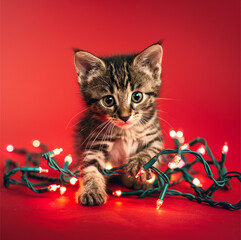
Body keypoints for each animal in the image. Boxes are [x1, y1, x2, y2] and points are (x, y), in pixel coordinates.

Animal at [74, 42, 164, 204]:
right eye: (108, 100)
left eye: (137, 96)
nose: (125, 117)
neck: (127, 131)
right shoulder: (95, 143)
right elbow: (90, 167)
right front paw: (91, 190)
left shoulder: (154, 137)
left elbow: (151, 152)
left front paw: (139, 163)